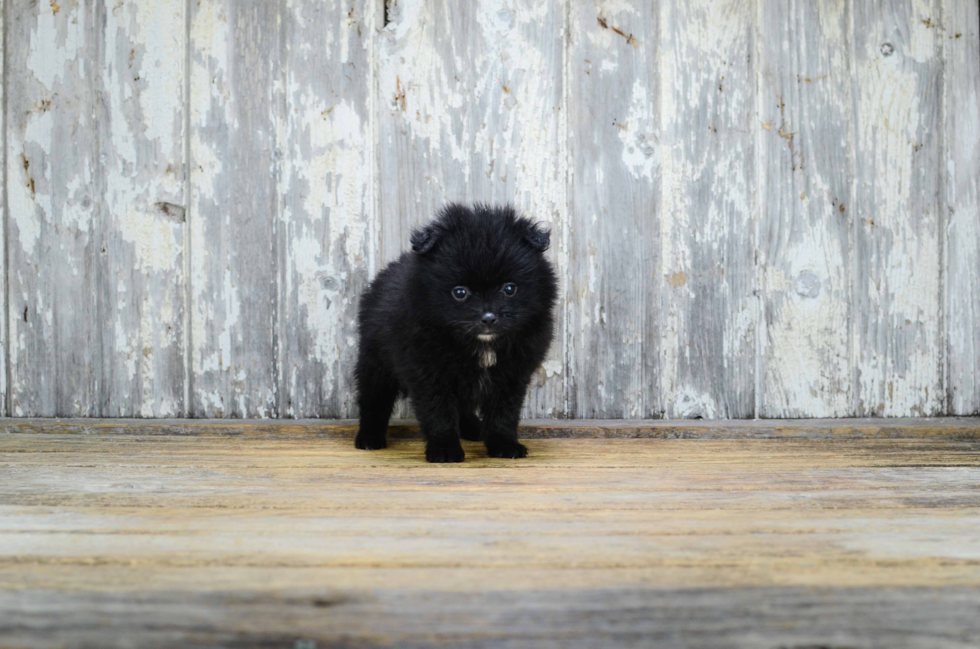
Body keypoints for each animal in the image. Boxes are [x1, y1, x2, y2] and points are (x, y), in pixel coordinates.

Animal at [354, 202, 556, 460]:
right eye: (460, 292)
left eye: (509, 289)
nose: (488, 318)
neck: (482, 344)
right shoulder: (428, 372)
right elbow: (438, 412)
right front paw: (445, 450)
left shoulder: (511, 375)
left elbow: (504, 412)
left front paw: (504, 445)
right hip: (375, 359)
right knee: (374, 398)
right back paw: (369, 437)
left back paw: (474, 429)